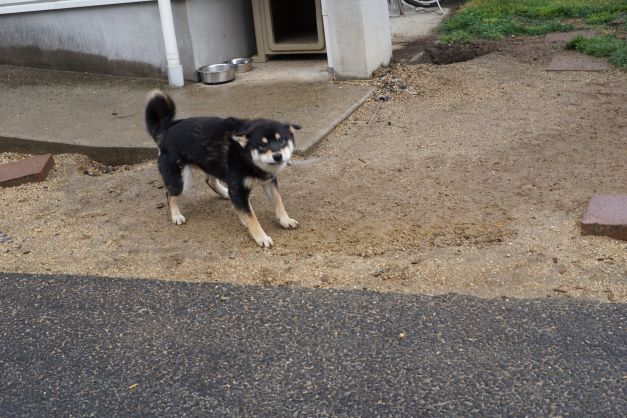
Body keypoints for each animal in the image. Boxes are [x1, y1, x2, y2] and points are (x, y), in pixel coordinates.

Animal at [145, 90, 302, 247]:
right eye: (262, 145)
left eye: (281, 140)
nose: (278, 156)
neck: (246, 155)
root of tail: (167, 128)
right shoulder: (238, 189)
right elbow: (251, 217)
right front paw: (261, 237)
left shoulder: (268, 182)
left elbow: (278, 202)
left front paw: (285, 220)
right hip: (182, 182)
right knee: (169, 193)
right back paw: (176, 215)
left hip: (212, 166)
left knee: (210, 181)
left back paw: (225, 193)